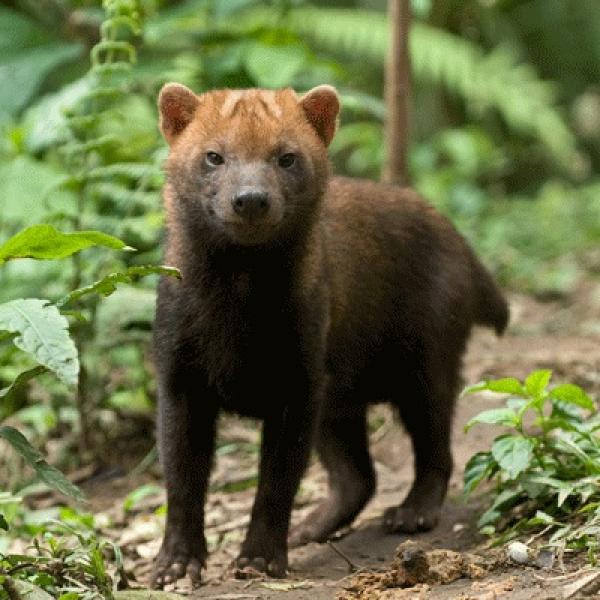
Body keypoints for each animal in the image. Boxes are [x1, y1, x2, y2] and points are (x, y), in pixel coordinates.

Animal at [150, 82, 506, 588]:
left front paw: (259, 559)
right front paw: (175, 565)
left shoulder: (298, 382)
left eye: (287, 157)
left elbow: (277, 481)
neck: (236, 317)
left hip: (427, 363)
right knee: (359, 476)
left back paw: (411, 513)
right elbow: (181, 478)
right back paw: (310, 528)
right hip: (340, 398)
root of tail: (463, 247)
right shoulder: (180, 379)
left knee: (436, 448)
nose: (251, 198)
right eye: (213, 156)